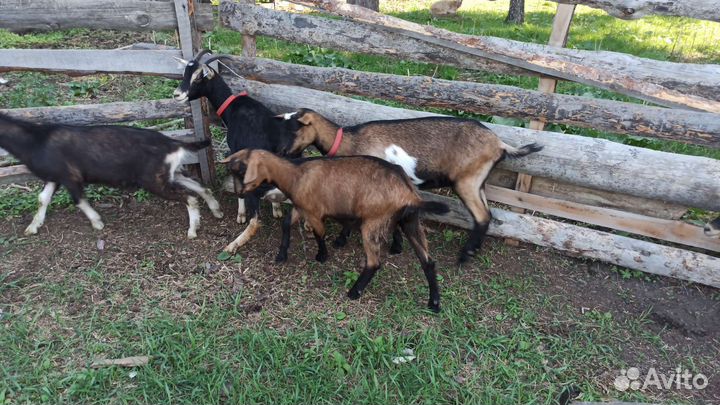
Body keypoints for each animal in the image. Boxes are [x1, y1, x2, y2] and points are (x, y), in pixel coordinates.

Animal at [0, 112, 223, 238]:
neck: (36, 140)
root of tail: (173, 143)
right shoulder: (54, 177)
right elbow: (42, 198)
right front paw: (33, 227)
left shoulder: (70, 177)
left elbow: (78, 200)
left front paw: (97, 223)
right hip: (170, 173)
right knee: (199, 186)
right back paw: (216, 210)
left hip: (154, 180)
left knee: (189, 197)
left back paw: (192, 231)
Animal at [173, 50, 300, 253]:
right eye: (185, 72)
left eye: (199, 77)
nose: (177, 94)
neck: (232, 107)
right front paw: (276, 209)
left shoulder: (235, 151)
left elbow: (237, 185)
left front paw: (240, 215)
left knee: (255, 221)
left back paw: (233, 244)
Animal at [221, 149, 450, 312]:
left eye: (242, 172)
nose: (240, 193)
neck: (295, 175)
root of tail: (409, 195)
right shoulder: (301, 207)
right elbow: (286, 223)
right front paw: (281, 254)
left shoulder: (313, 211)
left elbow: (318, 233)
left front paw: (322, 255)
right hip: (410, 222)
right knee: (428, 261)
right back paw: (434, 303)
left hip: (373, 222)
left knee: (374, 262)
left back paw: (354, 291)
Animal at [280, 109, 543, 263]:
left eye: (294, 129)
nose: (283, 153)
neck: (350, 141)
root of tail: (499, 143)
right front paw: (396, 246)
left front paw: (342, 240)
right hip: (479, 181)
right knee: (488, 213)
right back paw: (473, 250)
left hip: (467, 180)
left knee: (481, 216)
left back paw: (464, 255)